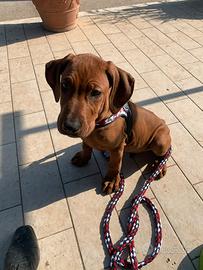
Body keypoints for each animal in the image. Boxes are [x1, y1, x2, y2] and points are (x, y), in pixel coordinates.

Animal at [45, 52, 170, 194]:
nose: (70, 126)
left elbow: (114, 165)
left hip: (160, 142)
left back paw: (159, 166)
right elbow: (86, 146)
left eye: (96, 93)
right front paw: (83, 158)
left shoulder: (117, 147)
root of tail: (164, 122)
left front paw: (111, 180)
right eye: (65, 85)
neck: (99, 123)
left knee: (165, 154)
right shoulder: (87, 136)